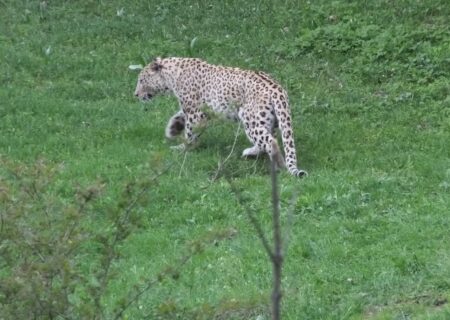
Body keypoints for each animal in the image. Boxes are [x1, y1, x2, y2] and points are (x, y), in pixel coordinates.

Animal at [134, 57, 308, 178]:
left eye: (142, 80)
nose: (135, 94)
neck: (172, 77)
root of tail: (278, 90)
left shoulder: (195, 112)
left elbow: (190, 132)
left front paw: (184, 148)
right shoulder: (197, 110)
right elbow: (180, 116)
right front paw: (173, 129)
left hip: (250, 119)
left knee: (271, 141)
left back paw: (280, 166)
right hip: (269, 120)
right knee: (267, 139)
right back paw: (250, 153)